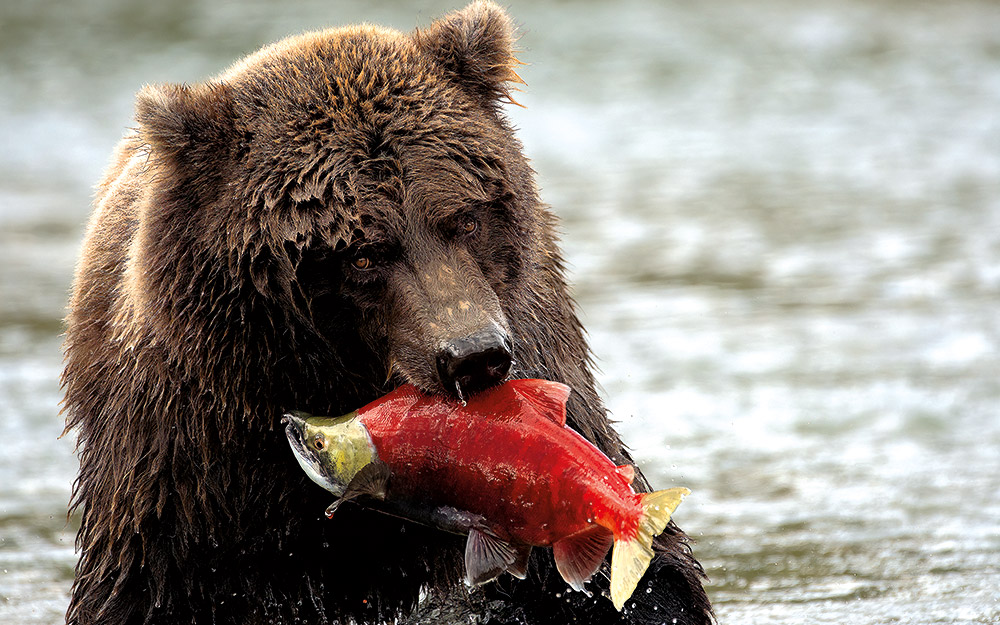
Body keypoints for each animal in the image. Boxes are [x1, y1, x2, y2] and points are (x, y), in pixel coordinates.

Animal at [60, 2, 712, 620]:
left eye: (465, 219)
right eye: (362, 254)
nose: (474, 356)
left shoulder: (542, 404)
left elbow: (641, 578)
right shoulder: (190, 468)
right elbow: (148, 590)